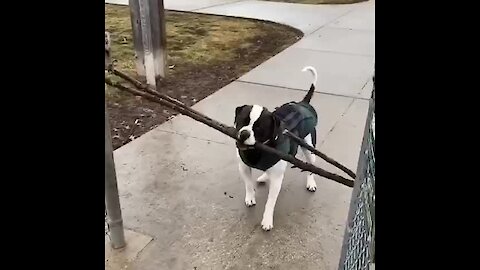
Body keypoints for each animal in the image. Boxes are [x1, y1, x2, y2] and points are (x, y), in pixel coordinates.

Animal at [235, 66, 318, 231]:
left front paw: (267, 219)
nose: (244, 134)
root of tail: (302, 103)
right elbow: (248, 184)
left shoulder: (276, 179)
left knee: (311, 165)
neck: (259, 150)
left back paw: (311, 182)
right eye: (242, 120)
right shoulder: (244, 167)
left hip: (309, 149)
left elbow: (270, 201)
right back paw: (264, 176)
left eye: (259, 127)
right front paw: (250, 197)